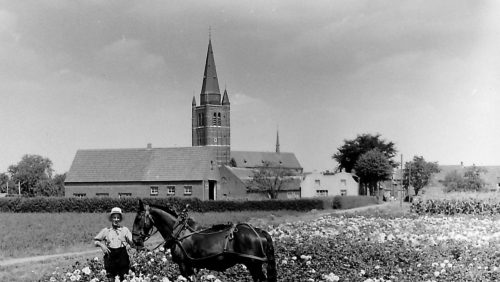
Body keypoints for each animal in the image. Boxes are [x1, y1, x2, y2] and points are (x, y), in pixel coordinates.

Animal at [132, 199, 278, 280]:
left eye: (138, 218)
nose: (134, 240)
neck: (179, 232)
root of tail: (259, 232)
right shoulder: (193, 267)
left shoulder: (184, 266)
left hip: (254, 265)